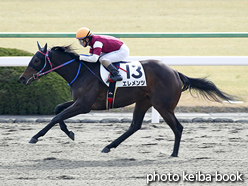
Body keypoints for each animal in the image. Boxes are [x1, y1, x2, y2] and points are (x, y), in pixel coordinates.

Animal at [19, 42, 234, 157]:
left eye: (36, 60)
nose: (21, 78)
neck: (80, 72)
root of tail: (174, 72)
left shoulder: (84, 105)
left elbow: (57, 116)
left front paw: (35, 136)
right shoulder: (80, 102)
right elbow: (57, 110)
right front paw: (70, 133)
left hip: (163, 106)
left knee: (177, 127)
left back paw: (173, 153)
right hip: (144, 101)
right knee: (135, 126)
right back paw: (108, 146)